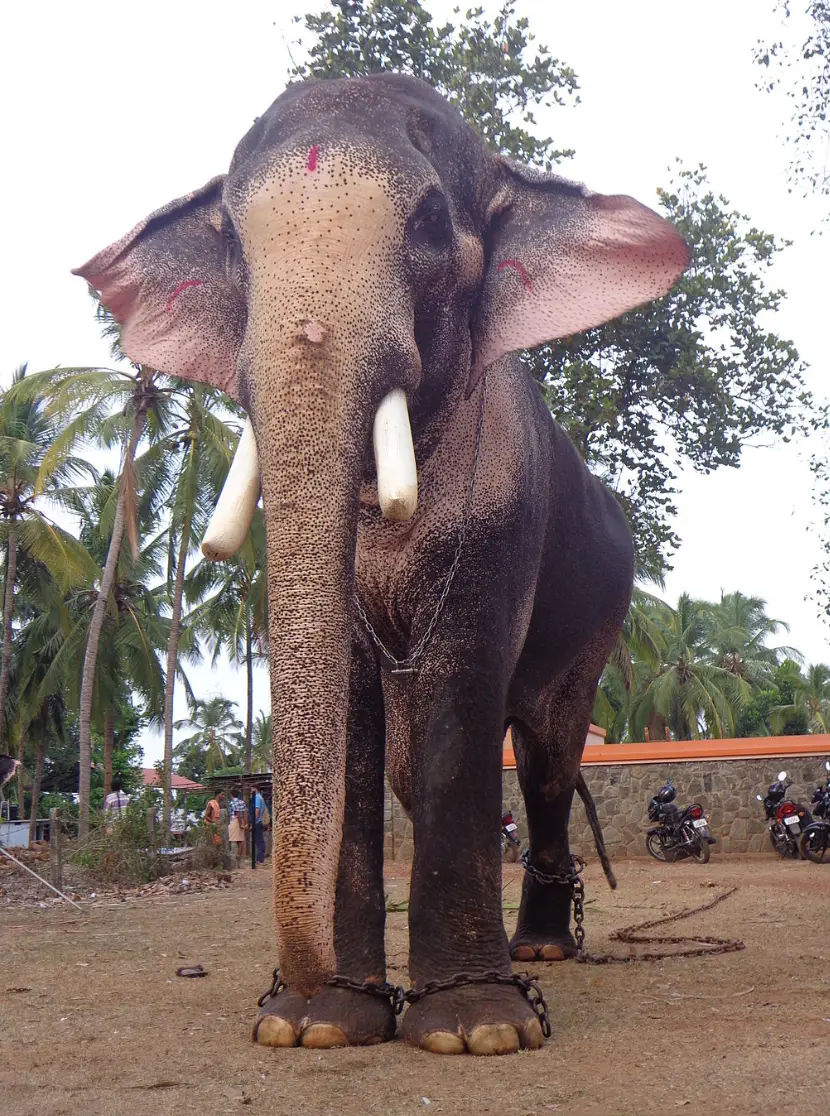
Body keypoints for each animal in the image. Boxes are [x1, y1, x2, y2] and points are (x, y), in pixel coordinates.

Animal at [75, 73, 688, 1056]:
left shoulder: (502, 513)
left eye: (431, 224)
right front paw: (318, 1024)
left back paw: (543, 950)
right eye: (232, 240)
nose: (287, 984)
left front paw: (477, 1028)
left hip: (600, 619)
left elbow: (460, 698)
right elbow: (359, 713)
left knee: (548, 758)